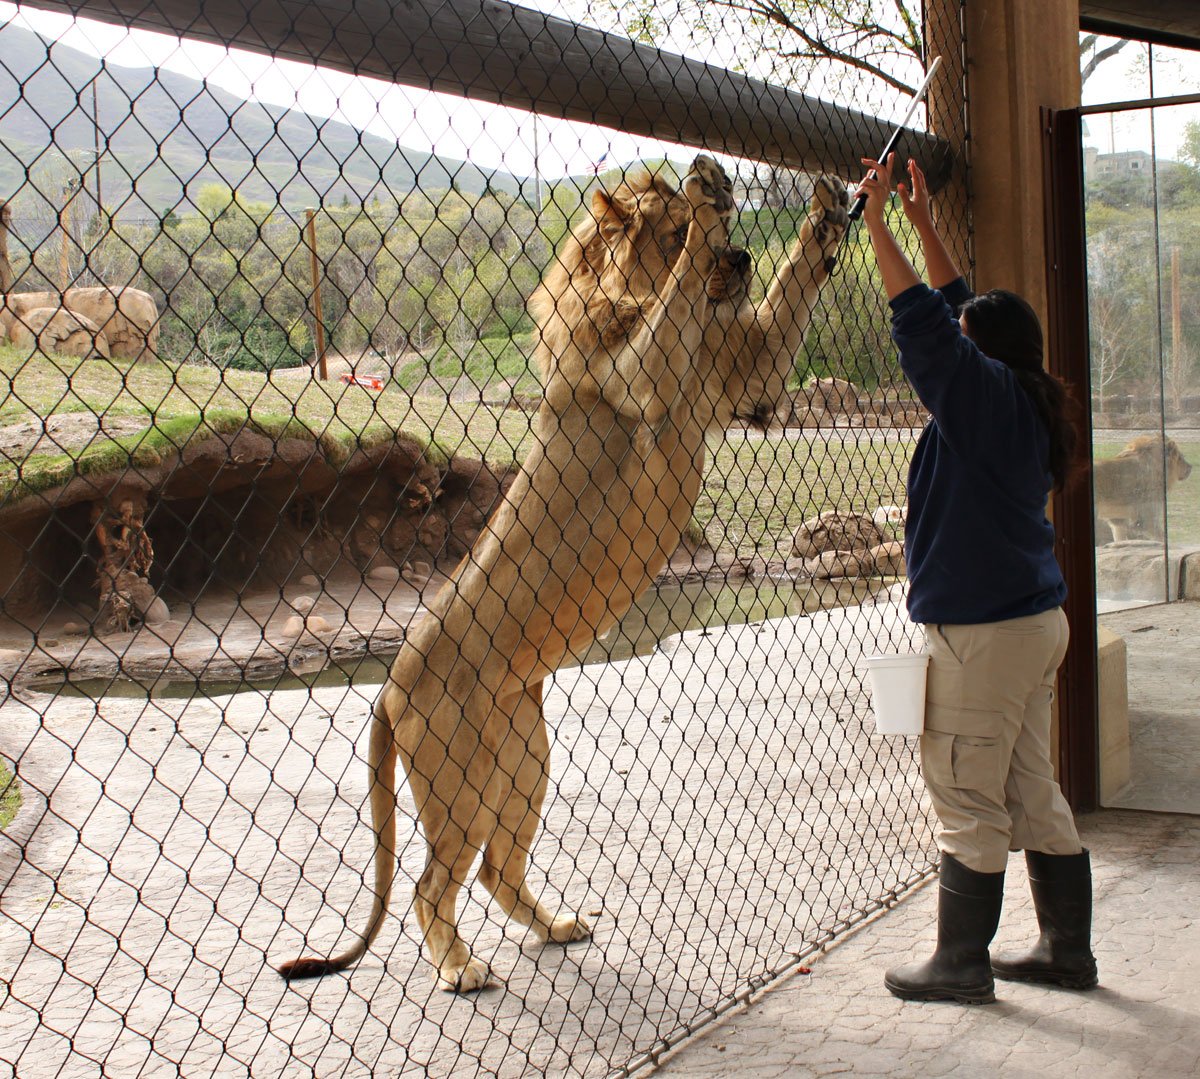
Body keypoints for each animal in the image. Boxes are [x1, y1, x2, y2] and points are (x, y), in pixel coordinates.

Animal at [276, 156, 849, 993]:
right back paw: (461, 966)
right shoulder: (643, 375)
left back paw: (557, 926)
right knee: (429, 883)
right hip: (462, 782)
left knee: (495, 870)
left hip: (524, 763)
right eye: (678, 233)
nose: (741, 256)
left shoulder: (746, 380)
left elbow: (792, 294)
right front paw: (709, 191)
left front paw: (826, 214)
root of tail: (389, 683)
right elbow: (672, 301)